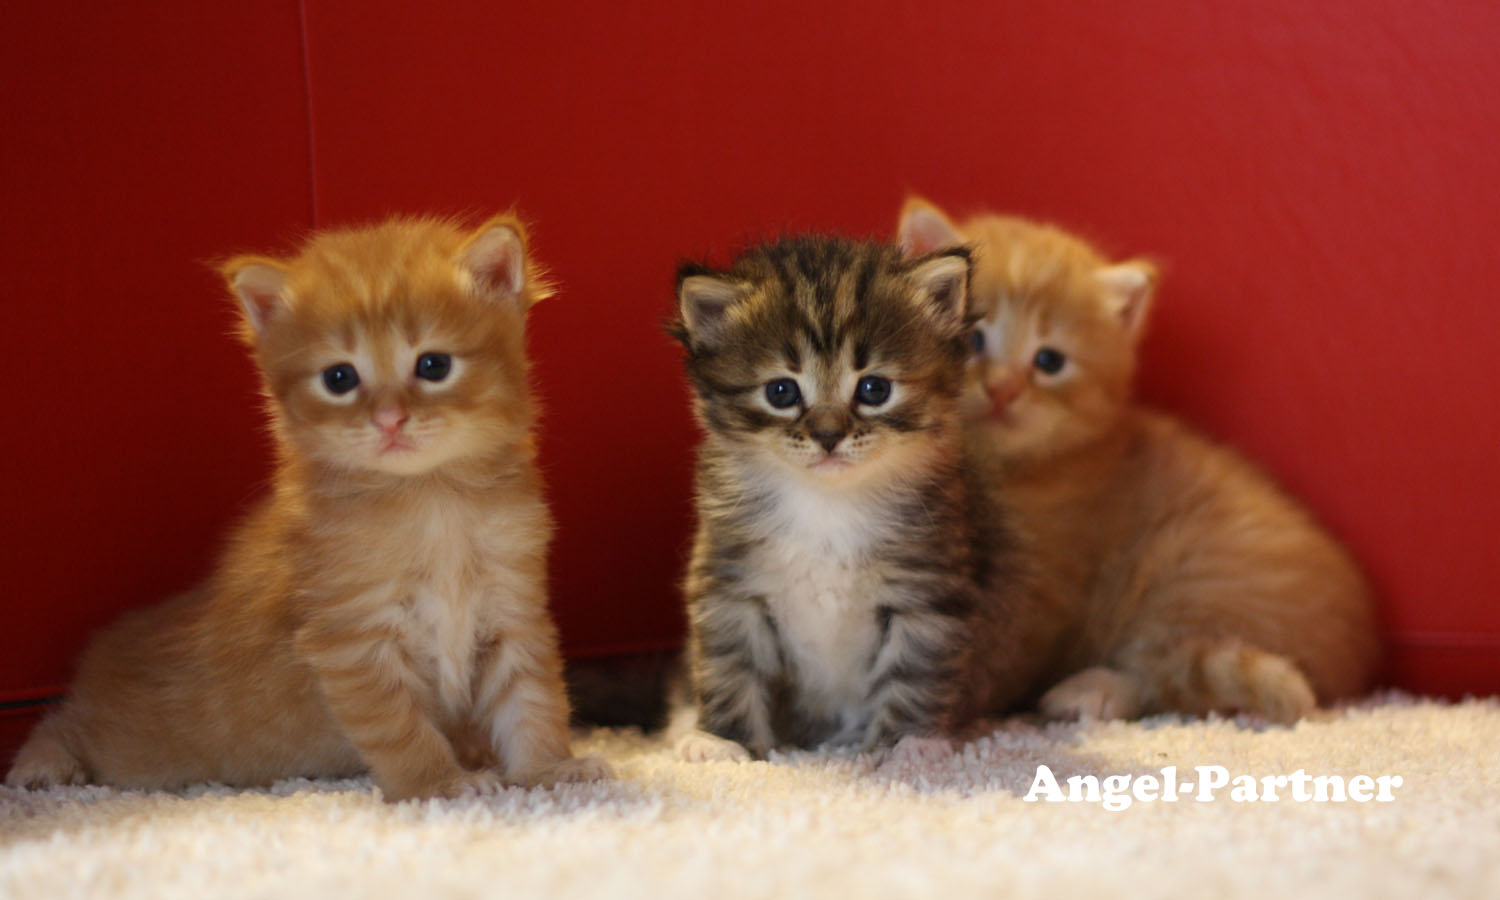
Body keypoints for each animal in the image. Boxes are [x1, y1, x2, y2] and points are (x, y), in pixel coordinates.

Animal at [7, 213, 603, 804]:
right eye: (340, 378)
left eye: (434, 365)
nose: (389, 420)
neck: (431, 498)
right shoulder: (353, 639)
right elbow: (400, 728)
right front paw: (440, 784)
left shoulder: (513, 610)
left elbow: (533, 700)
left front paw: (547, 770)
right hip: (139, 748)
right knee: (63, 720)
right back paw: (40, 767)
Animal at [669, 234, 1032, 759]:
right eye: (781, 392)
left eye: (874, 389)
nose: (827, 436)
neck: (826, 505)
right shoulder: (728, 584)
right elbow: (728, 668)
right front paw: (723, 742)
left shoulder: (926, 592)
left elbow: (915, 675)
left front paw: (907, 746)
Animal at [894, 196, 1374, 723]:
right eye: (975, 338)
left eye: (1049, 362)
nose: (1003, 389)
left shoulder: (1046, 588)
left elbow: (999, 648)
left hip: (1186, 572)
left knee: (1169, 672)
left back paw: (1090, 691)